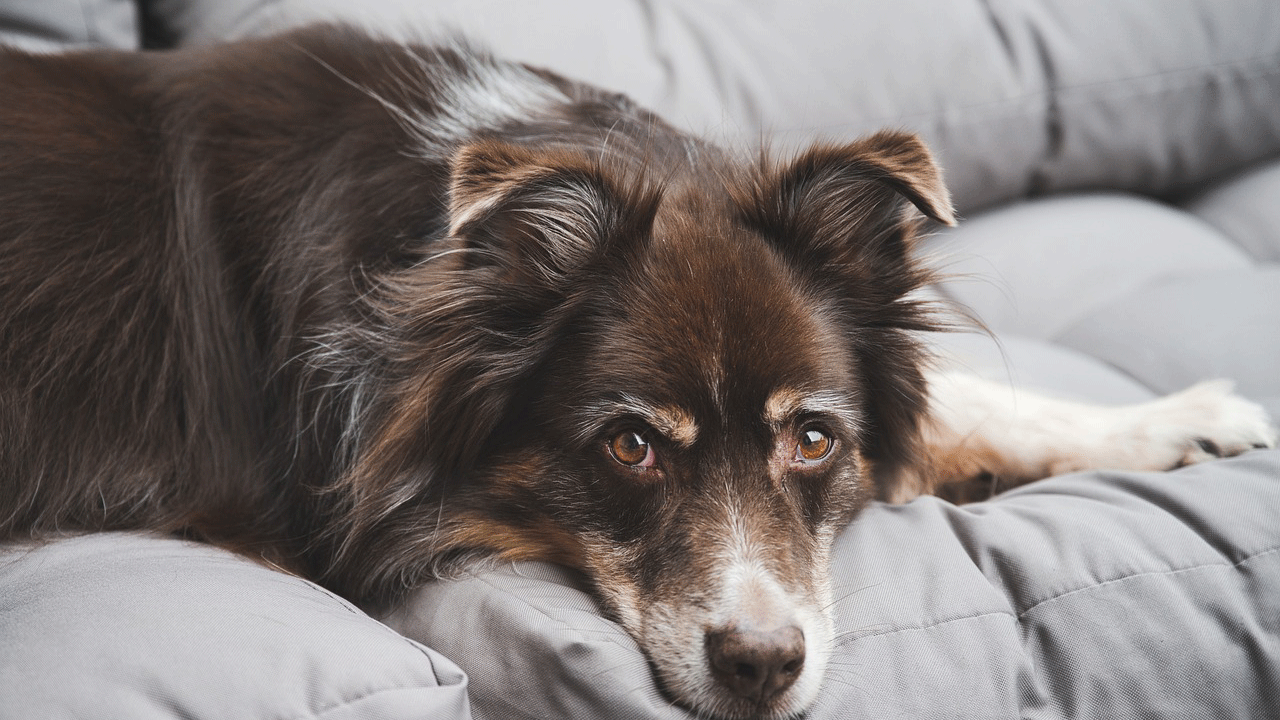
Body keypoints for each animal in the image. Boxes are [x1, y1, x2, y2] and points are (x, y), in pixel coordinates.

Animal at [0, 25, 1274, 712]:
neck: (429, 262)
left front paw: (1171, 421)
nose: (761, 669)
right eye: (628, 446)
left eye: (813, 437)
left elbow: (954, 396)